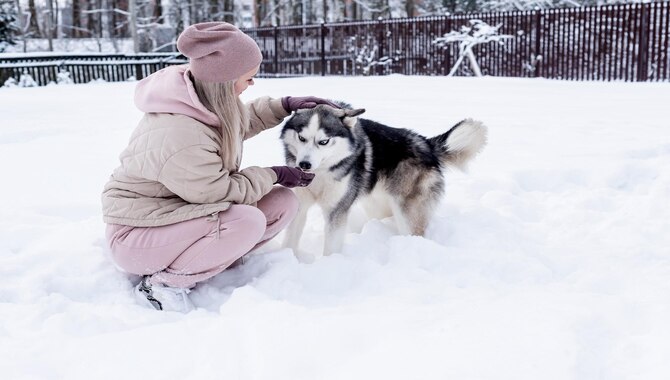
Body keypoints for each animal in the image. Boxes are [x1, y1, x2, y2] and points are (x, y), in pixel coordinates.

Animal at [280, 104, 488, 256]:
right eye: (301, 138)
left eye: (323, 142)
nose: (304, 164)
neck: (320, 173)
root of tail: (425, 143)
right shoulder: (300, 204)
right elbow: (290, 239)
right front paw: (287, 260)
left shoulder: (337, 210)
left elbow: (331, 246)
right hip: (377, 205)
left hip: (406, 210)